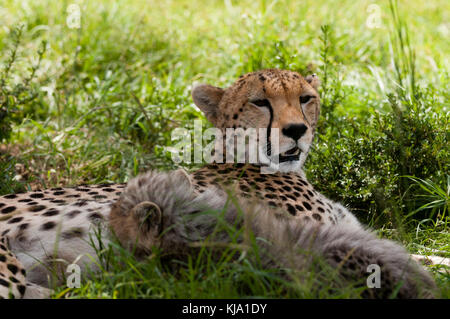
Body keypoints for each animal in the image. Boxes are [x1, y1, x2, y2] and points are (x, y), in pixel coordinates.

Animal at [0, 69, 444, 298]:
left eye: (306, 98)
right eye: (260, 102)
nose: (296, 130)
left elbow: (419, 252)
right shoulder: (299, 240)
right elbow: (417, 258)